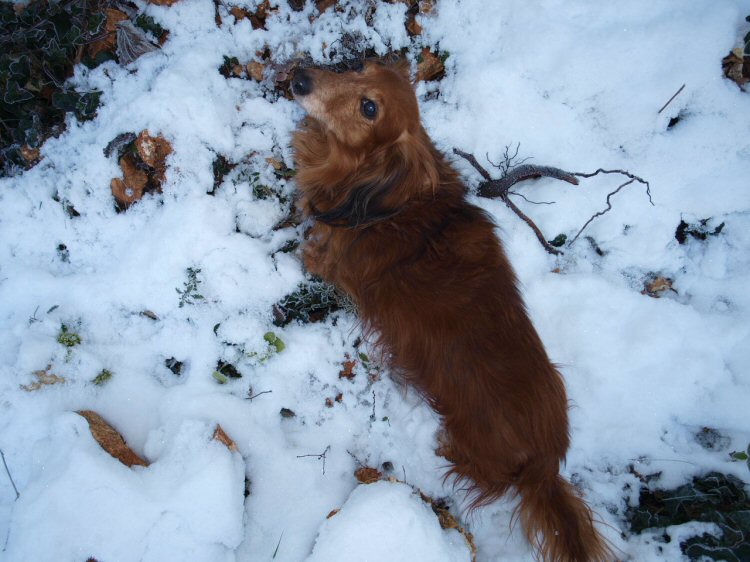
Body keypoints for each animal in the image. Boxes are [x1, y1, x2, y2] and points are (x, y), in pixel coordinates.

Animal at [290, 60, 612, 560]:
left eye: (369, 108)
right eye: (358, 67)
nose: (299, 77)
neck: (394, 203)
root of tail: (544, 467)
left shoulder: (330, 263)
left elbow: (309, 248)